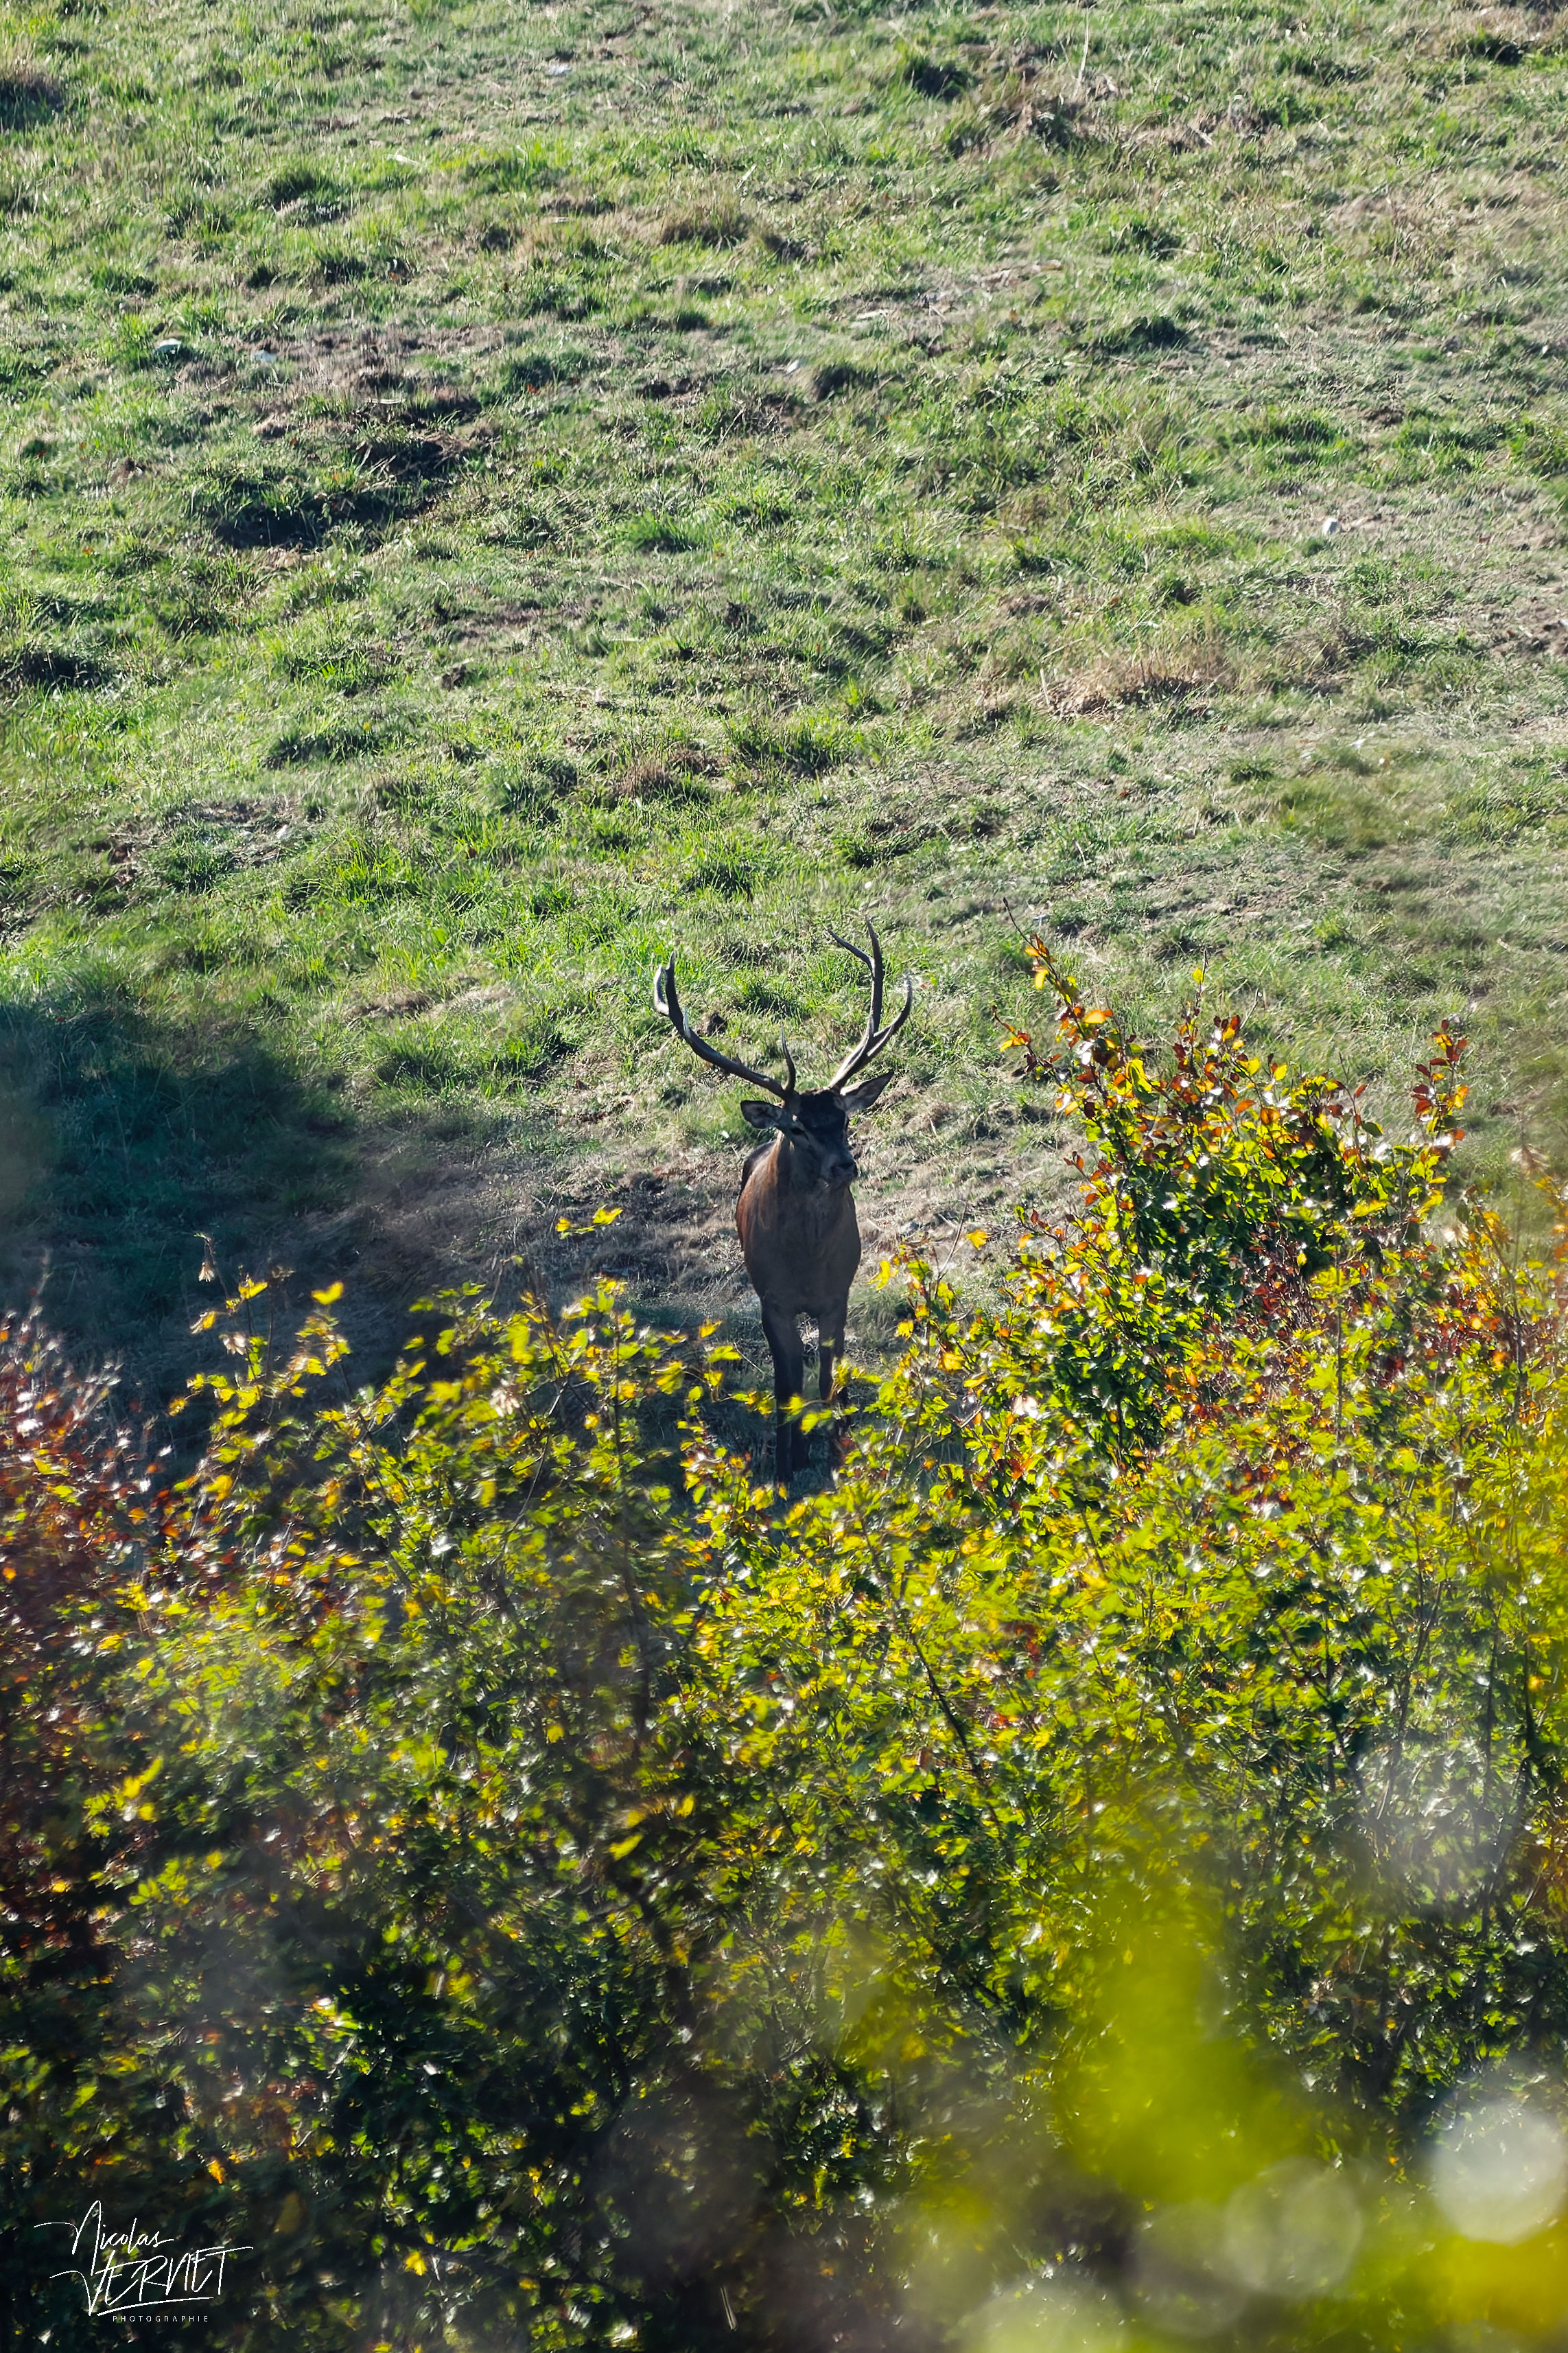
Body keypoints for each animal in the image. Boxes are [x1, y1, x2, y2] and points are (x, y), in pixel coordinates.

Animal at [653, 922, 912, 1485]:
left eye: (844, 1116)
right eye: (796, 1128)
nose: (844, 1166)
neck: (807, 1262)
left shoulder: (838, 1294)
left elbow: (829, 1380)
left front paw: (836, 1450)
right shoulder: (772, 1298)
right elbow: (785, 1385)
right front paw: (786, 1467)